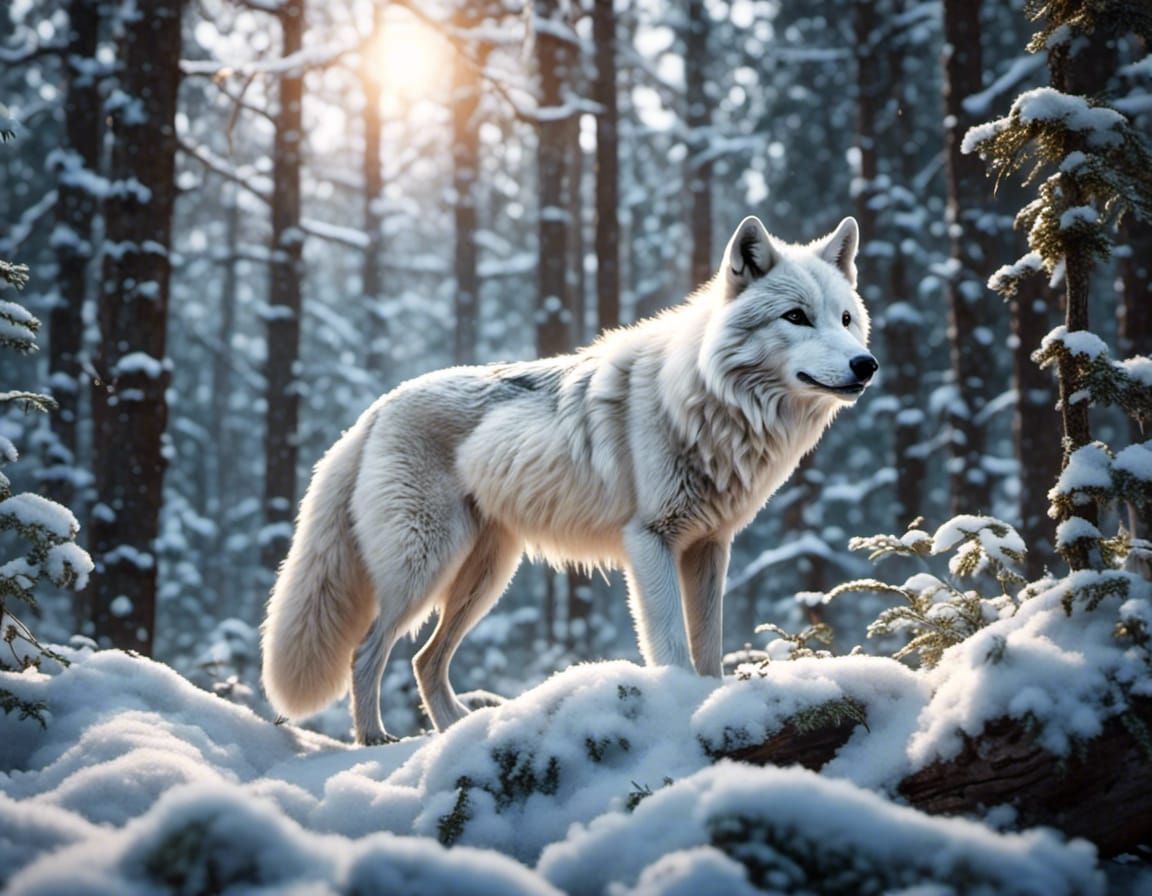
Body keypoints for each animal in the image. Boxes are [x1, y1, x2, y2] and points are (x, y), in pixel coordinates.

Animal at [261, 215, 877, 744]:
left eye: (845, 320)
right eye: (795, 316)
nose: (866, 364)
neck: (708, 402)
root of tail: (373, 412)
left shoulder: (710, 546)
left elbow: (709, 652)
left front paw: (711, 704)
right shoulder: (650, 541)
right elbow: (672, 648)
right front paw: (681, 710)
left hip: (486, 575)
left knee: (424, 660)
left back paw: (456, 733)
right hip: (424, 566)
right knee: (367, 652)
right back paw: (373, 738)